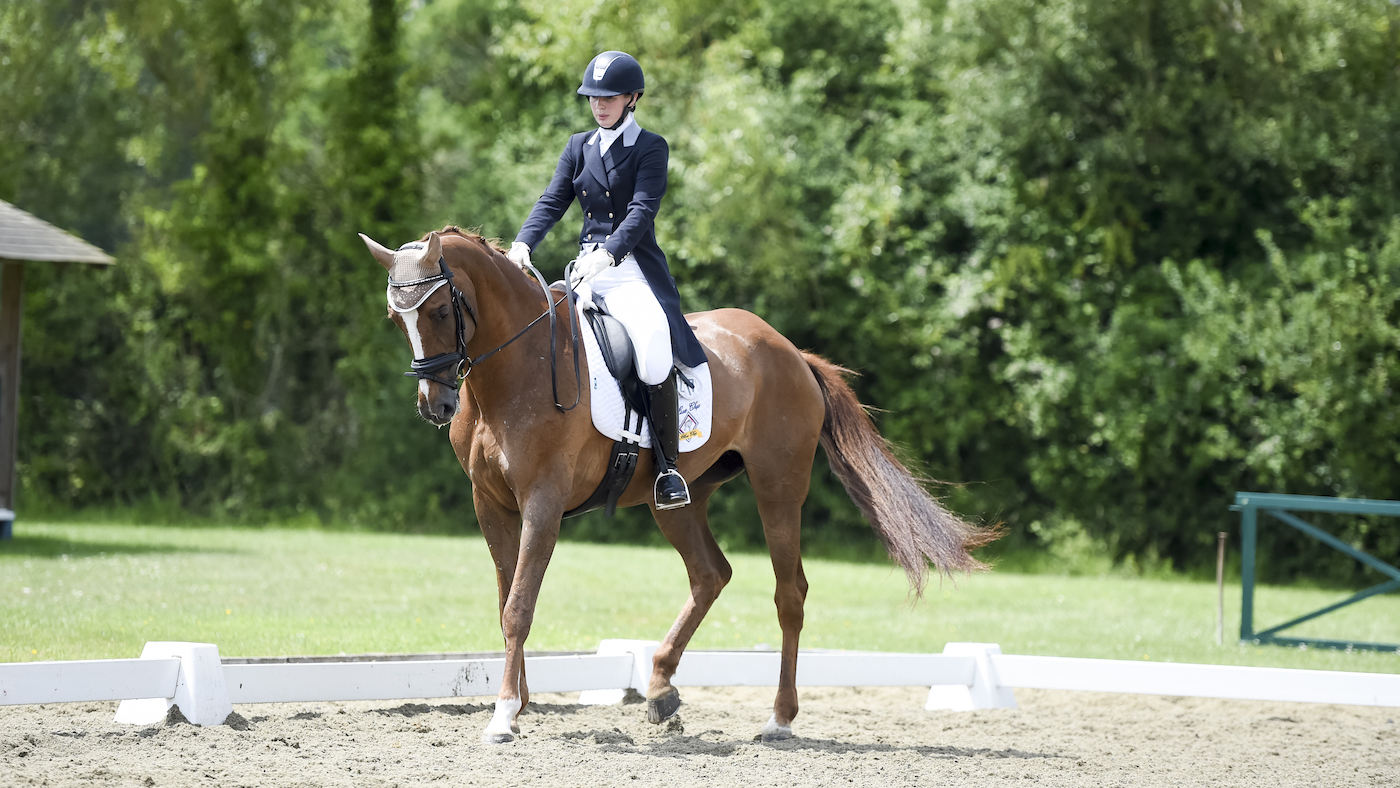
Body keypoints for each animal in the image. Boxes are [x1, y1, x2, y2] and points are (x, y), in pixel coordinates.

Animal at [359, 227, 997, 743]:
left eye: (439, 312)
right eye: (396, 319)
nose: (436, 406)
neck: (513, 372)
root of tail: (790, 350)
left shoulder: (543, 502)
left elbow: (519, 606)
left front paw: (503, 716)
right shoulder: (490, 504)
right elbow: (506, 601)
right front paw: (517, 703)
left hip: (779, 485)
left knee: (789, 593)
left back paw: (779, 718)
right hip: (680, 498)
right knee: (711, 573)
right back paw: (662, 689)